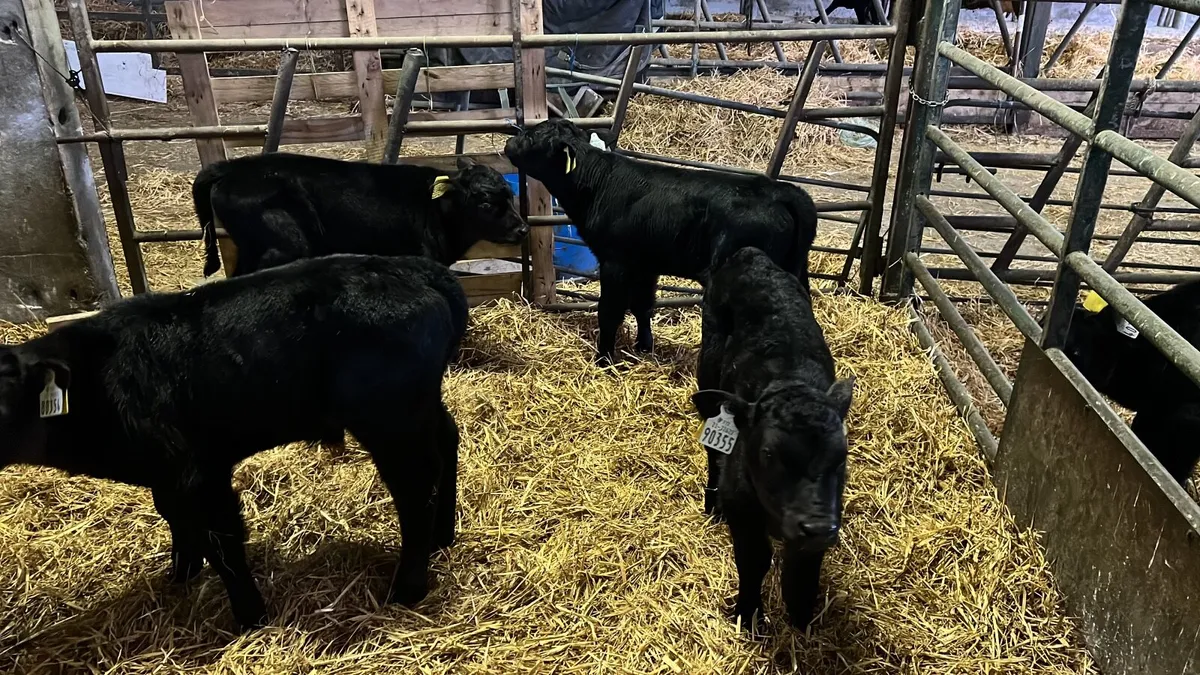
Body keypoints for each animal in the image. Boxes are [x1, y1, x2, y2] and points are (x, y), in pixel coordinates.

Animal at [0, 255, 467, 631]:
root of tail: (417, 269)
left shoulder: (199, 472)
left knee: (416, 487)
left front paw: (250, 617)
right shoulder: (167, 474)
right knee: (447, 442)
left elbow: (222, 541)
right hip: (421, 407)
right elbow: (176, 519)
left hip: (391, 421)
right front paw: (180, 575)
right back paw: (442, 537)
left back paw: (408, 587)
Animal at [504, 118, 818, 365]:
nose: (509, 141)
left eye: (533, 136)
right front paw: (644, 346)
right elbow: (643, 305)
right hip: (796, 270)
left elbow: (610, 311)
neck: (598, 183)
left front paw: (603, 359)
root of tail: (780, 191)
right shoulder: (646, 264)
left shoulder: (615, 261)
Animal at [691, 247, 854, 629]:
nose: (818, 527)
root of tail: (750, 254)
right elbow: (754, 560)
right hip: (707, 372)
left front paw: (801, 611)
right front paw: (748, 613)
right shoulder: (742, 507)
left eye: (842, 456)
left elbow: (804, 565)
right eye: (768, 454)